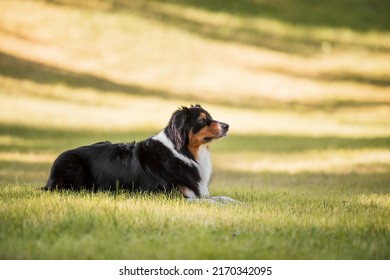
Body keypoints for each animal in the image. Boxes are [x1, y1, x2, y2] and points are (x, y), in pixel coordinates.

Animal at [42, 105, 238, 203]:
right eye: (202, 120)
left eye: (210, 117)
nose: (227, 125)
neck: (184, 152)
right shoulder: (169, 195)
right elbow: (208, 201)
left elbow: (223, 198)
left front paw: (239, 203)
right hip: (72, 165)